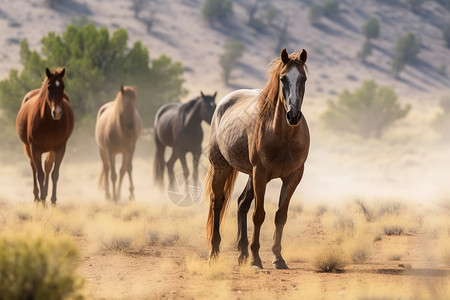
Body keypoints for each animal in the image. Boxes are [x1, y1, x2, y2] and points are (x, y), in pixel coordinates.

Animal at [15, 67, 74, 205]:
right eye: (49, 87)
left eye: (62, 86)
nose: (57, 112)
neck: (48, 122)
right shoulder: (35, 148)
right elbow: (40, 174)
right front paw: (42, 200)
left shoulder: (60, 148)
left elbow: (54, 173)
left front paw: (52, 201)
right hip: (27, 147)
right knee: (34, 168)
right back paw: (37, 197)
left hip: (51, 149)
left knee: (47, 166)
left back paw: (46, 195)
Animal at [204, 48, 310, 270]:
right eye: (283, 78)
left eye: (303, 79)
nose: (293, 116)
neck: (283, 136)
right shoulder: (260, 173)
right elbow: (259, 214)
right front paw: (256, 258)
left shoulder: (293, 176)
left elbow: (281, 216)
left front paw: (278, 258)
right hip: (222, 167)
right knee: (217, 202)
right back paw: (215, 252)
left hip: (251, 176)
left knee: (241, 203)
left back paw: (242, 253)